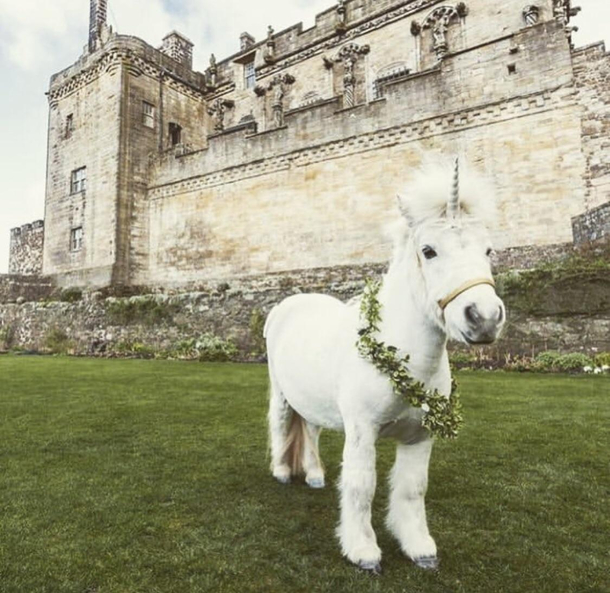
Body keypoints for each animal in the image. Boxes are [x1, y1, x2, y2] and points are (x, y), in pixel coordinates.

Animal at [264, 160, 506, 572]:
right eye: (428, 250)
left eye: (487, 249)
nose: (485, 318)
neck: (406, 365)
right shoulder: (362, 433)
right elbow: (362, 486)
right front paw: (363, 551)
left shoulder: (420, 435)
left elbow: (412, 488)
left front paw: (419, 547)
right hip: (281, 395)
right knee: (281, 426)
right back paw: (282, 472)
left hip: (311, 401)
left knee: (309, 430)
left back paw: (313, 476)